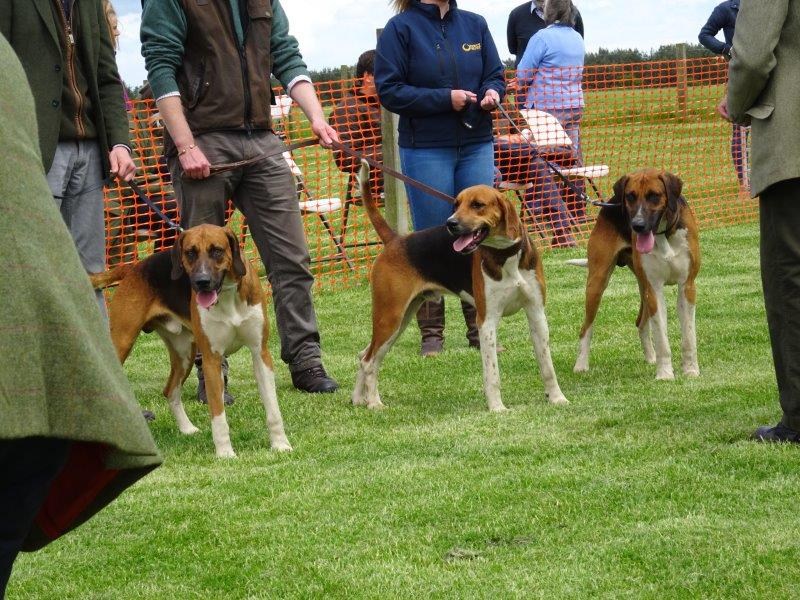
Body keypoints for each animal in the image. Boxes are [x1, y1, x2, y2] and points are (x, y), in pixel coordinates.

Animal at [91, 224, 292, 457]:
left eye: (217, 251)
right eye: (190, 253)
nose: (201, 282)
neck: (227, 295)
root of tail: (133, 268)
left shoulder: (261, 353)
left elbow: (273, 409)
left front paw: (280, 444)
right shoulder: (211, 360)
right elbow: (218, 415)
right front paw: (225, 453)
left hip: (184, 353)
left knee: (170, 390)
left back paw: (186, 429)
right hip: (122, 343)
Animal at [352, 162, 567, 412]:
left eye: (477, 205)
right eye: (456, 204)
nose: (450, 223)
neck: (505, 256)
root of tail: (395, 239)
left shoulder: (536, 313)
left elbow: (547, 366)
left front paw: (557, 398)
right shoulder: (487, 321)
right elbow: (492, 374)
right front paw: (496, 408)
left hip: (399, 320)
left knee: (364, 355)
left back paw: (358, 399)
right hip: (390, 317)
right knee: (369, 361)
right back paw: (374, 403)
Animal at [569, 168, 700, 380]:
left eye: (654, 196)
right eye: (630, 196)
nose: (637, 225)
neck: (663, 233)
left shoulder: (687, 286)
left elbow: (688, 336)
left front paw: (690, 370)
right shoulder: (655, 289)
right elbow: (662, 338)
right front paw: (665, 374)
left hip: (643, 289)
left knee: (641, 322)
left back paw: (650, 358)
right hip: (597, 283)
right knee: (586, 328)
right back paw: (581, 365)